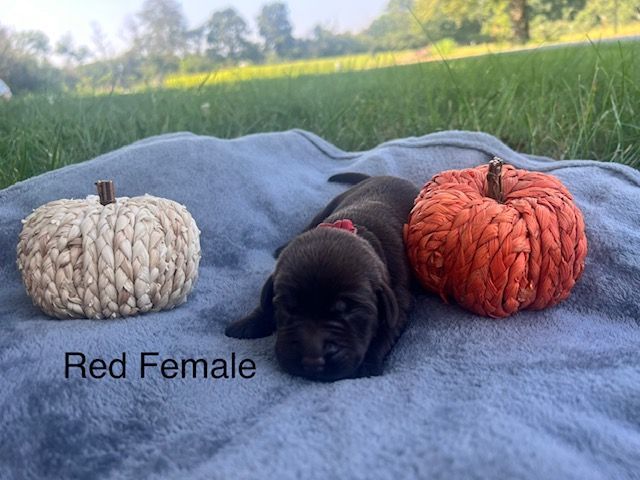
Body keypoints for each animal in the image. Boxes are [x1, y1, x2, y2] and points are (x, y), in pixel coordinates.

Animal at [225, 173, 419, 381]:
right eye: (289, 308)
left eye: (348, 311)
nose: (312, 361)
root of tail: (382, 175)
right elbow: (264, 303)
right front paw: (246, 324)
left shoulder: (399, 300)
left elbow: (386, 330)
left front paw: (368, 364)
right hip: (329, 205)